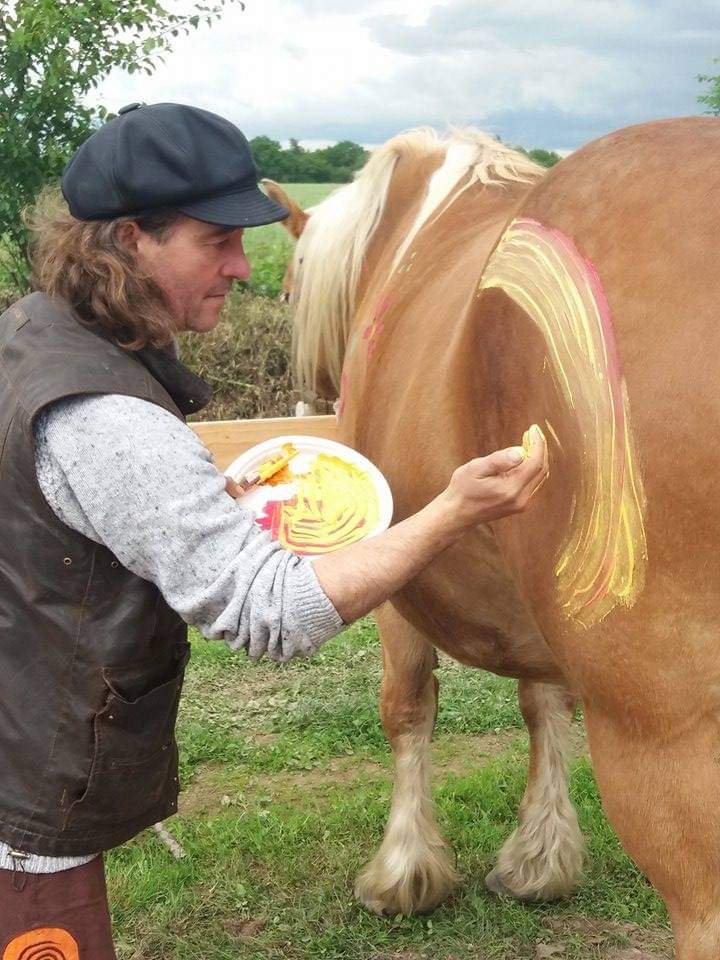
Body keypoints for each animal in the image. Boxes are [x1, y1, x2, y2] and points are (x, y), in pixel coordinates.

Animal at [268, 120, 720, 960]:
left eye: (285, 293)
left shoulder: (397, 587)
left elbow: (406, 705)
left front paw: (404, 871)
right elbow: (543, 705)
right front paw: (541, 859)